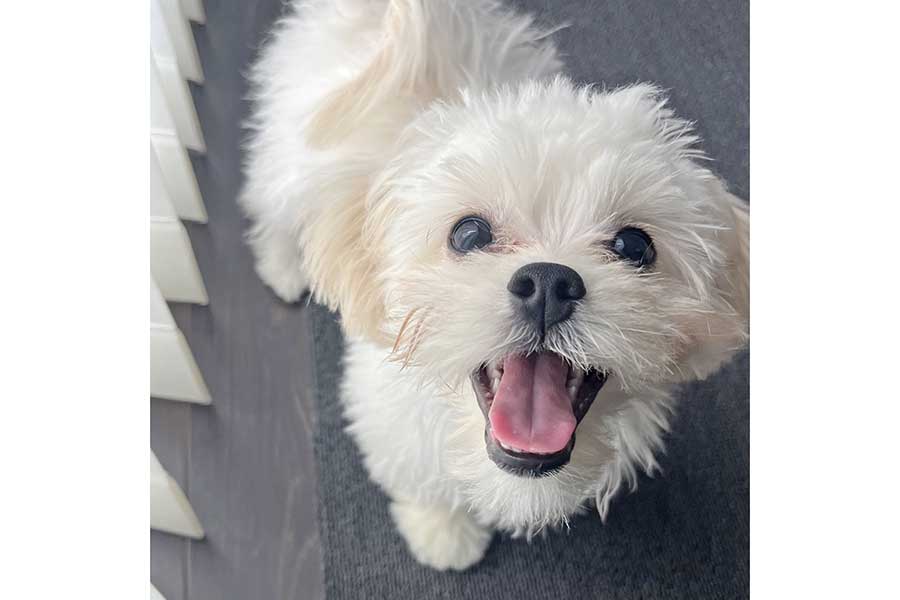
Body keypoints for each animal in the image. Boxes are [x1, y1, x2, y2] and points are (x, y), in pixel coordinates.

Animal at [239, 0, 744, 572]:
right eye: (469, 233)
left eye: (635, 246)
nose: (549, 282)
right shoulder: (389, 416)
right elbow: (420, 476)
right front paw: (442, 531)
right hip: (284, 160)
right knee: (273, 212)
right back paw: (284, 267)